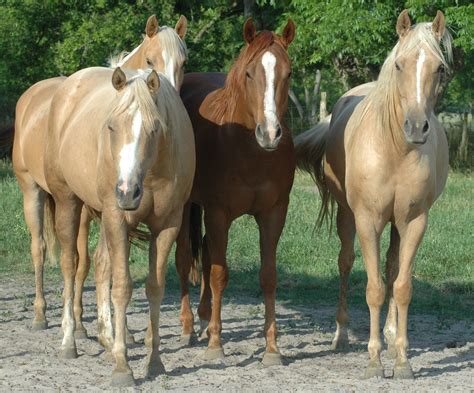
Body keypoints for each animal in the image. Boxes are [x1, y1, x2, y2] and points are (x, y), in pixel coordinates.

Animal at [12, 13, 187, 336]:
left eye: (184, 62)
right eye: (151, 60)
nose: (169, 98)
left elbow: (106, 262)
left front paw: (119, 331)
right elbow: (87, 261)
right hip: (33, 191)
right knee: (40, 249)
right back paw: (42, 314)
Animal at [42, 67, 194, 386]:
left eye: (154, 128)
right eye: (111, 127)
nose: (126, 192)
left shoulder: (167, 225)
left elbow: (155, 288)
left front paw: (154, 361)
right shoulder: (116, 217)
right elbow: (122, 287)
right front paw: (123, 367)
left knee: (101, 264)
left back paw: (108, 339)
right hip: (69, 201)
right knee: (70, 265)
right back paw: (69, 342)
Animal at [176, 16, 294, 362]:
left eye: (289, 73)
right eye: (249, 73)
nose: (270, 133)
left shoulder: (274, 214)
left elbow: (268, 277)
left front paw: (272, 348)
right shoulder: (218, 213)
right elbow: (218, 274)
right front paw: (216, 345)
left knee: (203, 250)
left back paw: (203, 319)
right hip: (185, 205)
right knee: (185, 256)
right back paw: (189, 325)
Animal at [294, 10, 454, 380]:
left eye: (439, 68)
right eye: (399, 64)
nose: (417, 127)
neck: (394, 149)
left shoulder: (414, 221)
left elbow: (401, 285)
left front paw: (402, 360)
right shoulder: (368, 220)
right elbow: (374, 288)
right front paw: (373, 360)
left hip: (396, 224)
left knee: (393, 267)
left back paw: (392, 334)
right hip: (347, 216)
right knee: (346, 262)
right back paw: (341, 335)